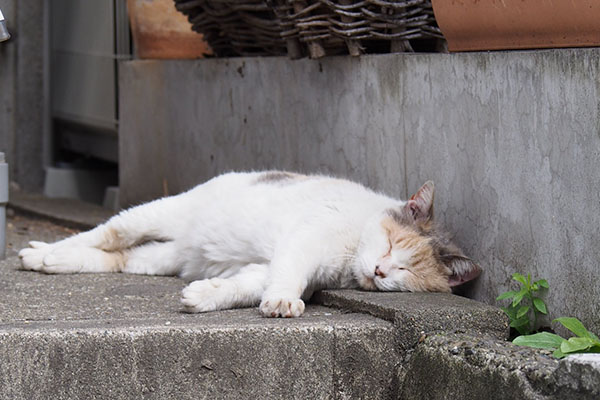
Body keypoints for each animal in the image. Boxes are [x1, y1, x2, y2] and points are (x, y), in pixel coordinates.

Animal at [16, 170, 480, 318]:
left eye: (405, 272)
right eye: (389, 244)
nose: (381, 270)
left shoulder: (277, 267)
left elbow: (248, 285)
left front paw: (205, 297)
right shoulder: (303, 243)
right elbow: (288, 277)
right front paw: (283, 303)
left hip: (162, 258)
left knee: (120, 258)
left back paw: (51, 261)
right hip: (155, 214)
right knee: (106, 233)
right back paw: (44, 252)